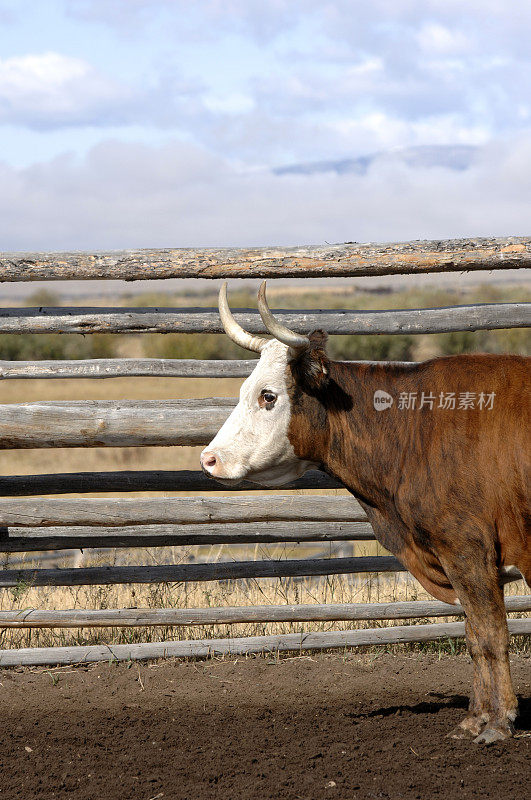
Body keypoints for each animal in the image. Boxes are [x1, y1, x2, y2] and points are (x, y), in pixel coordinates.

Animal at [202, 282, 528, 744]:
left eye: (268, 396)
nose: (208, 459)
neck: (415, 430)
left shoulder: (469, 551)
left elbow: (491, 634)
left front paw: (499, 723)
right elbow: (473, 635)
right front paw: (475, 718)